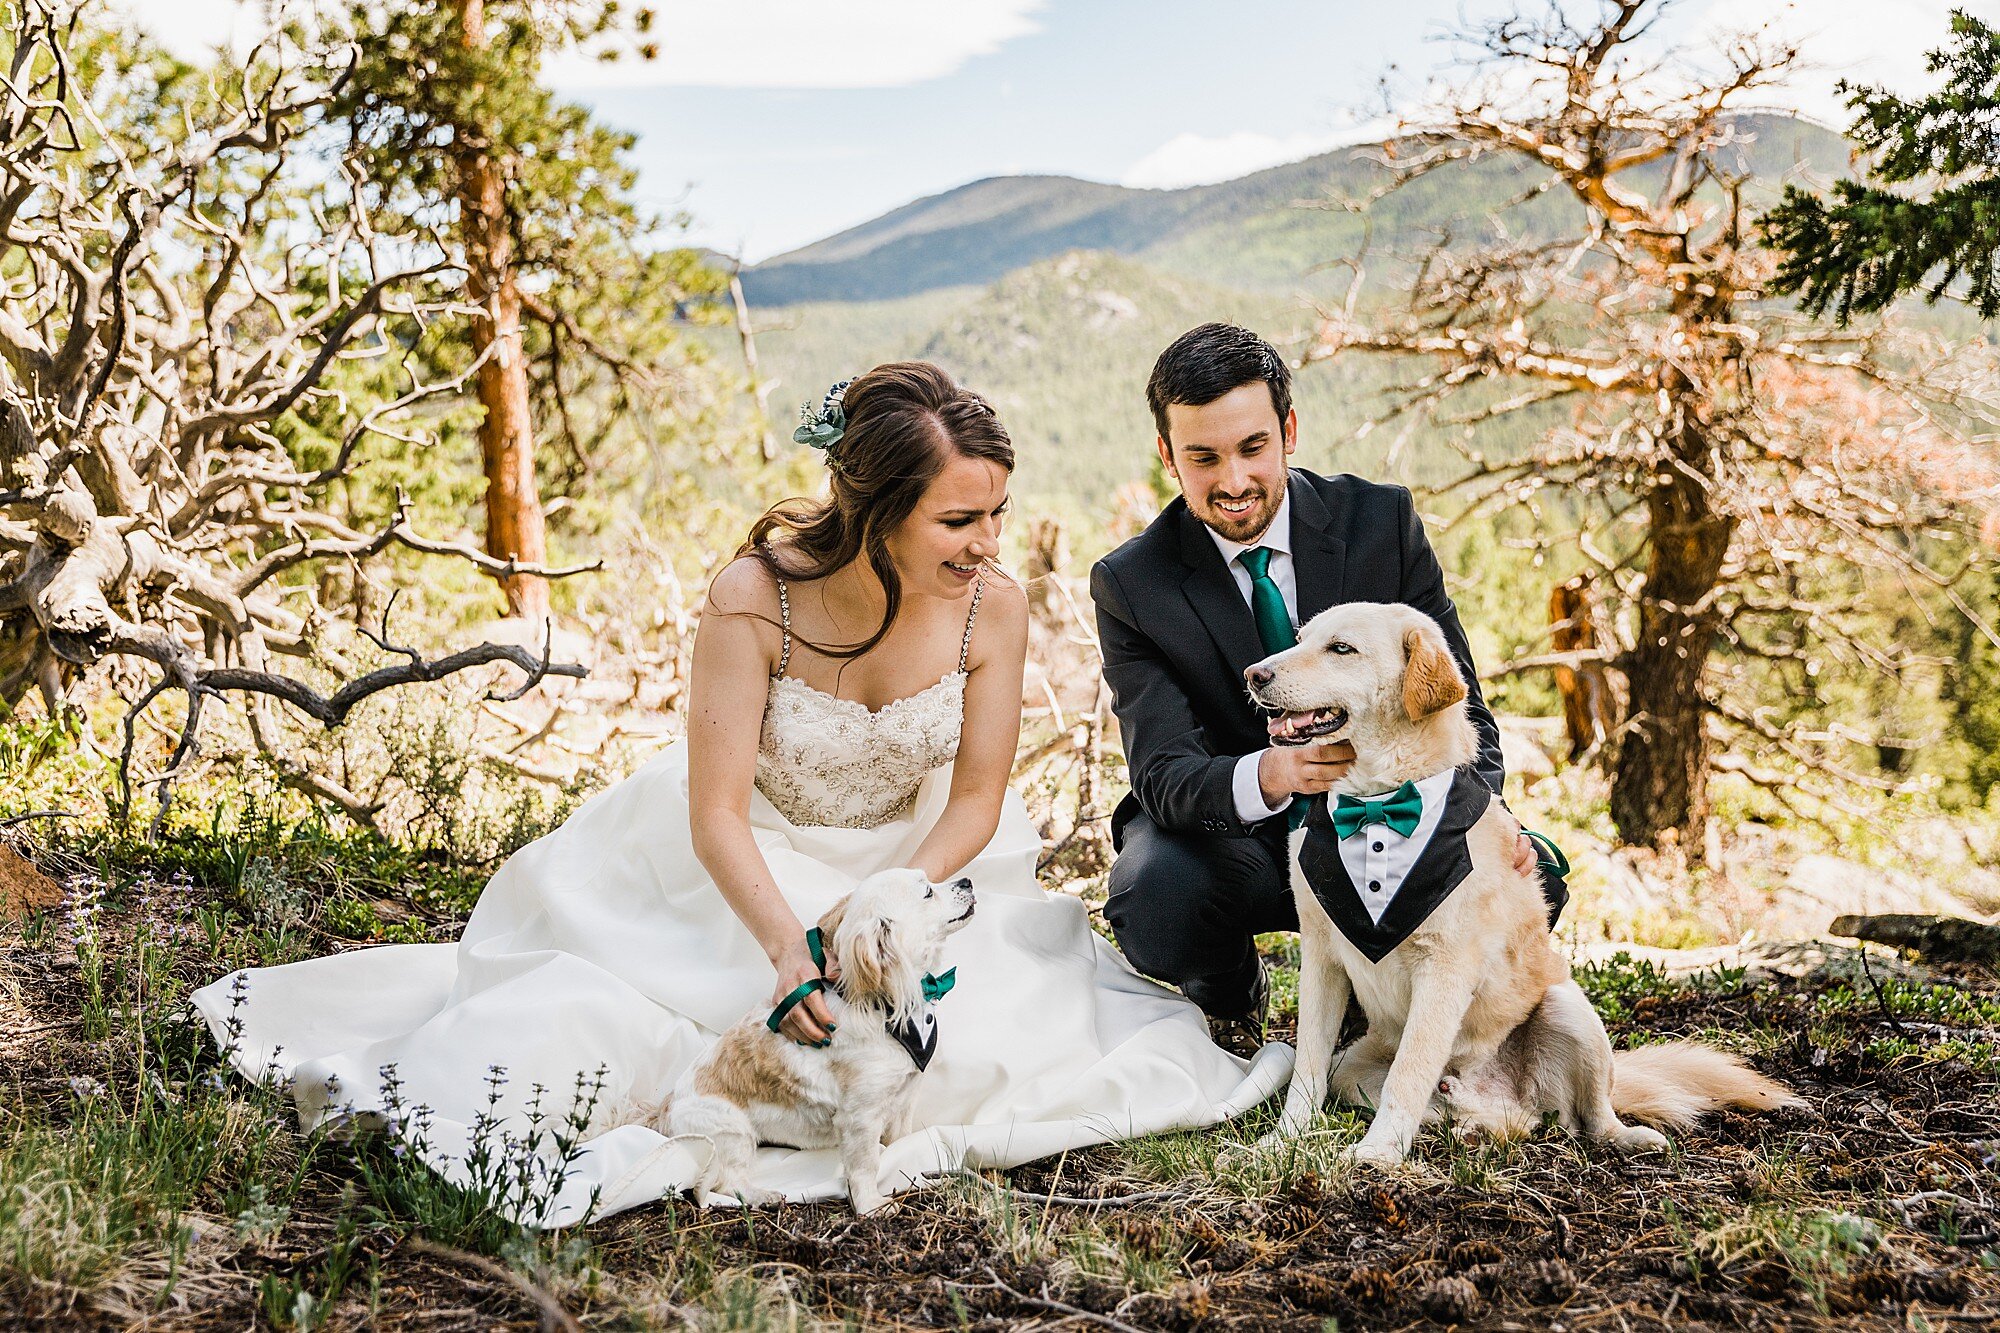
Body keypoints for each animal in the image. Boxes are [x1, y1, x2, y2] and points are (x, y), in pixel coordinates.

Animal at [652, 868, 972, 1208]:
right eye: (928, 892)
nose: (967, 881)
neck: (891, 1006)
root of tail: (666, 1112)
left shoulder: (903, 1101)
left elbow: (902, 1143)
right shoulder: (860, 1117)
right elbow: (865, 1165)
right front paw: (871, 1205)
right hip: (732, 1133)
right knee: (717, 1186)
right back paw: (762, 1195)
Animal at [1248, 600, 1800, 1160]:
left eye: (1341, 648)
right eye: (1300, 639)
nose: (1255, 674)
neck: (1378, 806)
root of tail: (1497, 1091)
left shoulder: (1445, 968)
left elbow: (1410, 1070)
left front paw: (1376, 1154)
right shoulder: (1322, 960)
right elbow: (1308, 1066)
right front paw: (1283, 1141)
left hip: (1570, 1009)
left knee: (1593, 1115)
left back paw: (1623, 1135)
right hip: (1355, 1068)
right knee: (1482, 1112)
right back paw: (1467, 1122)